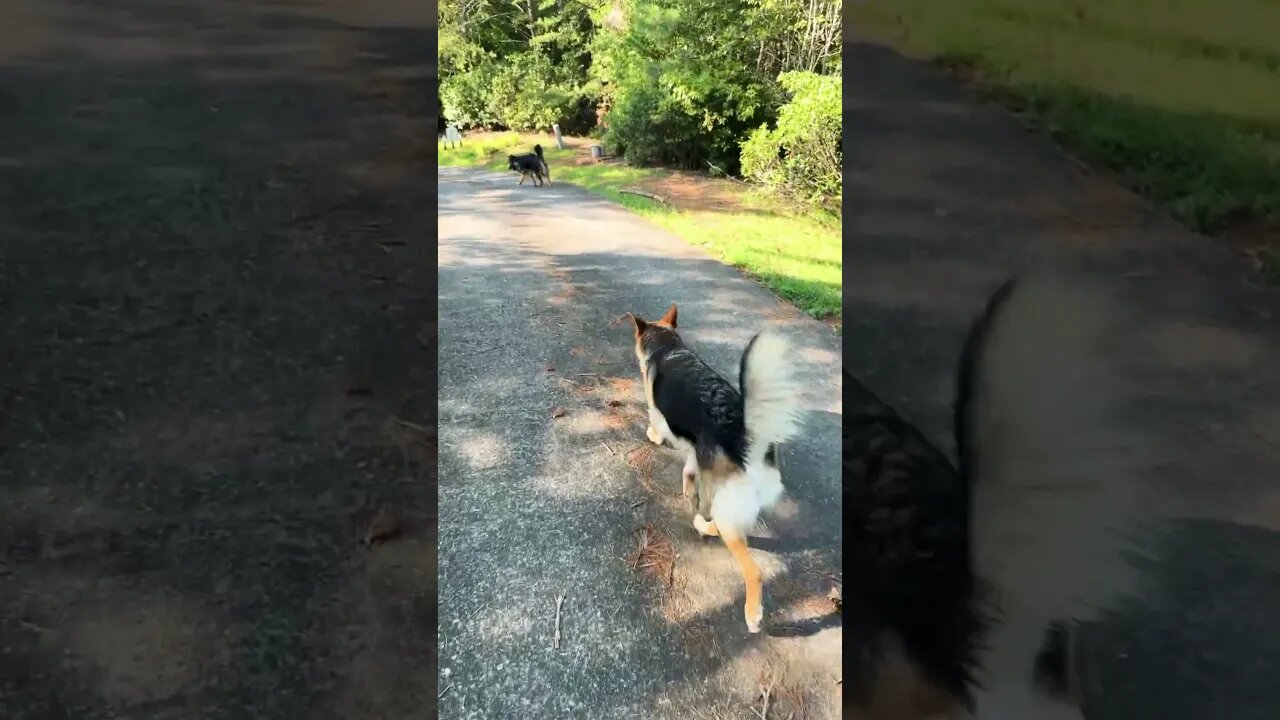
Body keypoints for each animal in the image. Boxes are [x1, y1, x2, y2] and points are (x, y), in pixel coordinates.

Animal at [622, 302, 798, 627]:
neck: (669, 348)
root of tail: (744, 432)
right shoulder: (698, 453)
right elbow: (689, 473)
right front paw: (688, 490)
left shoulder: (660, 417)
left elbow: (656, 429)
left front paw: (652, 435)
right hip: (735, 499)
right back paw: (702, 523)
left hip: (729, 506)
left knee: (752, 570)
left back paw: (752, 614)